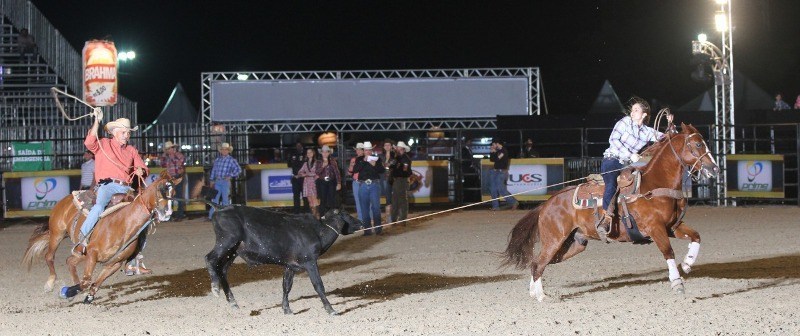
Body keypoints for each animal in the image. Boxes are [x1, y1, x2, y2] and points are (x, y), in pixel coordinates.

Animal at [21, 171, 180, 302]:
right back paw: (50, 283)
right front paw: (66, 292)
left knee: (70, 261)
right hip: (57, 234)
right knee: (49, 257)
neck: (122, 224)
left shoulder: (114, 263)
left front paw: (88, 296)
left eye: (173, 191)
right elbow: (86, 282)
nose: (167, 213)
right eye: (160, 190)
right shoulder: (92, 254)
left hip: (80, 252)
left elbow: (95, 283)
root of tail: (66, 199)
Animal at [500, 124, 720, 302]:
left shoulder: (672, 227)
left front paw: (688, 264)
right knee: (539, 263)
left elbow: (696, 236)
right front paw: (677, 283)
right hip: (554, 239)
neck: (654, 185)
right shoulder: (655, 228)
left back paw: (533, 292)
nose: (715, 169)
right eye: (698, 144)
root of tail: (546, 204)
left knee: (539, 262)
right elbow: (668, 251)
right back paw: (540, 296)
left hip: (573, 243)